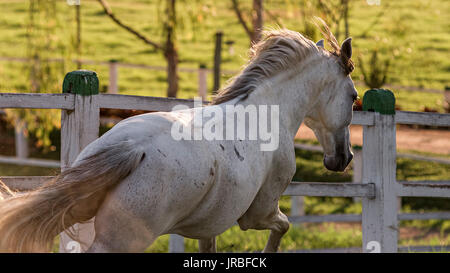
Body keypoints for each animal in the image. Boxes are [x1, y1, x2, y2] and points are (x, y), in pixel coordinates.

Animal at [0, 26, 358, 252]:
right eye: (354, 97)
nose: (344, 158)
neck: (265, 110)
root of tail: (130, 149)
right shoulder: (259, 213)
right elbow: (283, 227)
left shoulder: (209, 227)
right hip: (120, 240)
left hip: (82, 220)